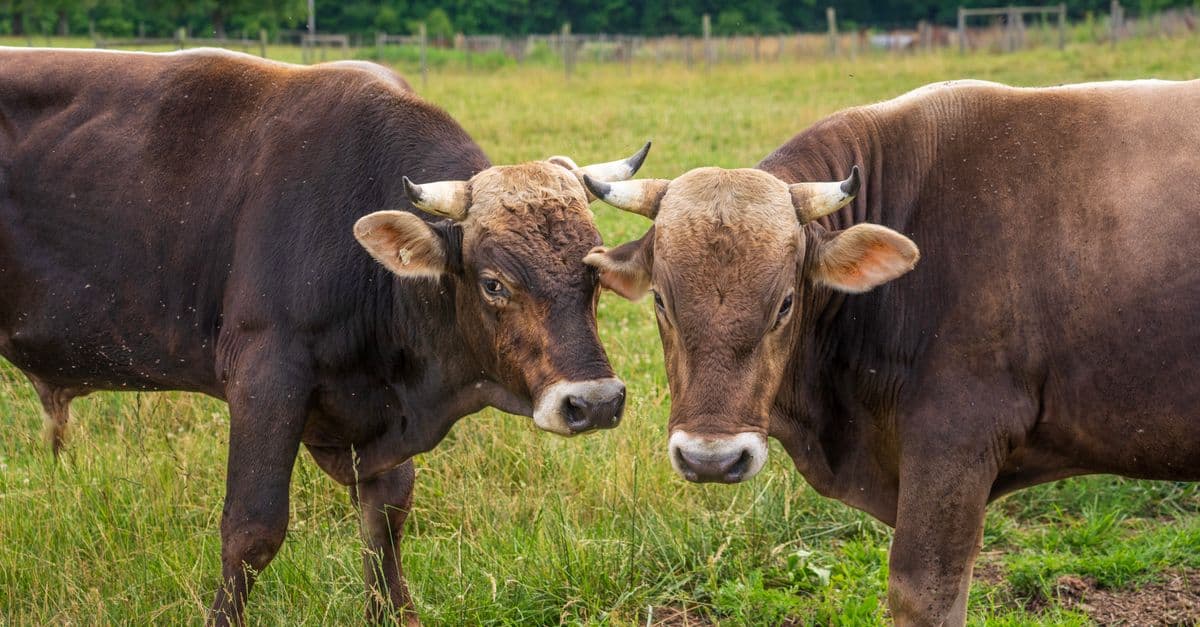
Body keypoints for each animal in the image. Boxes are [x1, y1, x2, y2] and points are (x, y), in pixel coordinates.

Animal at [0, 47, 646, 624]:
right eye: (493, 283)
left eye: (594, 274)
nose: (594, 402)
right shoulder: (265, 380)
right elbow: (251, 530)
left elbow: (385, 522)